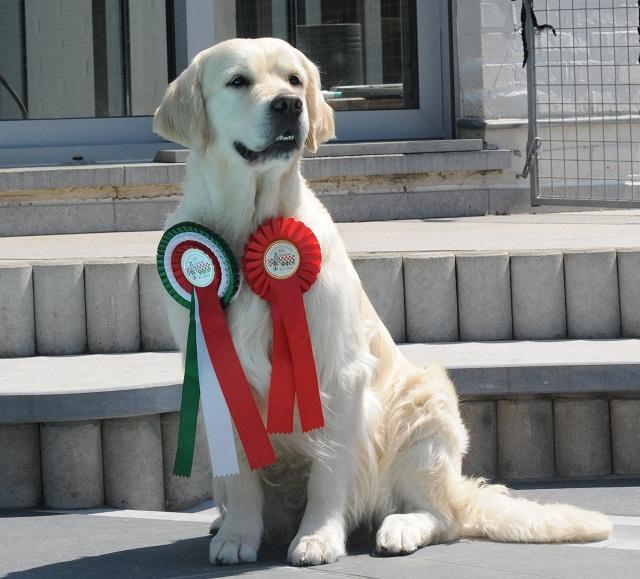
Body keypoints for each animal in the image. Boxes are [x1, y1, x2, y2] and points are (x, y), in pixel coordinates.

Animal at [152, 36, 612, 568]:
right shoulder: (215, 371)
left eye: (294, 80)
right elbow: (244, 472)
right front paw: (238, 534)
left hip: (424, 408)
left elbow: (329, 469)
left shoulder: (338, 372)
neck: (252, 231)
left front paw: (319, 538)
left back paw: (400, 528)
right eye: (238, 81)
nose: (288, 105)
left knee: (443, 515)